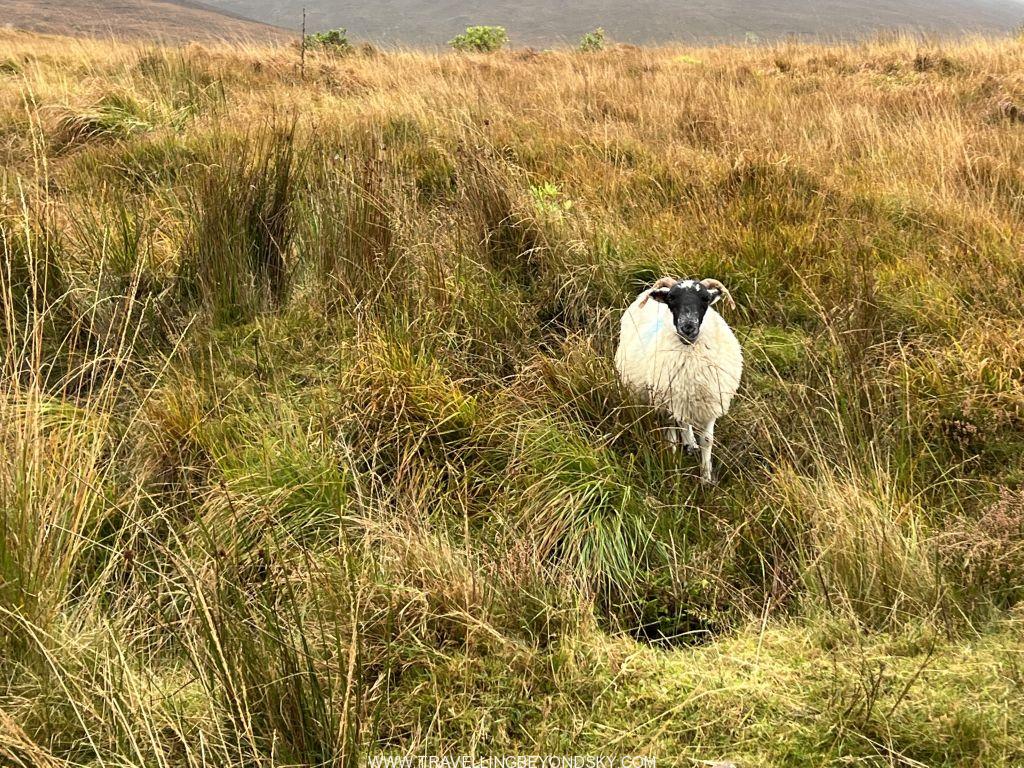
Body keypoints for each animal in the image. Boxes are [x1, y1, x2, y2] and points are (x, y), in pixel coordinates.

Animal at [614, 276, 742, 484]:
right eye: (672, 298)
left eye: (705, 298)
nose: (688, 326)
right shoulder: (665, 403)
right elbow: (671, 440)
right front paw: (674, 474)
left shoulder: (710, 404)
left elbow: (707, 441)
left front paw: (706, 478)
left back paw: (690, 443)